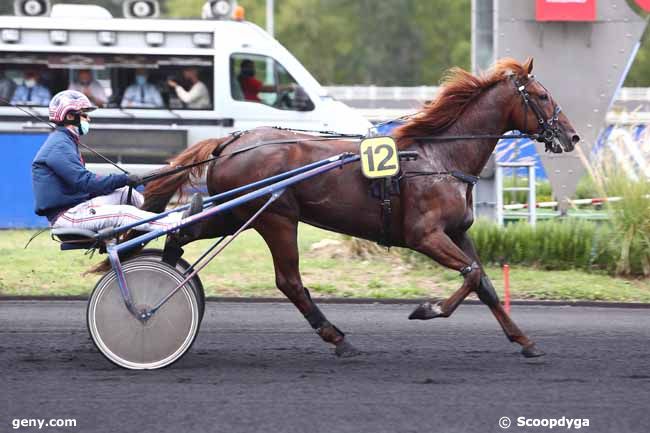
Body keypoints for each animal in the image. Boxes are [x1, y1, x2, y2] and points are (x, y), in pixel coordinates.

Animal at [143, 59, 576, 358]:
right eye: (542, 95)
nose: (571, 136)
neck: (439, 156)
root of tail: (230, 141)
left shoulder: (457, 231)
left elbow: (483, 281)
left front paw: (524, 340)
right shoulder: (424, 235)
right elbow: (470, 275)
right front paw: (428, 308)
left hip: (237, 214)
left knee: (183, 232)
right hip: (275, 219)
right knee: (289, 282)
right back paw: (336, 337)